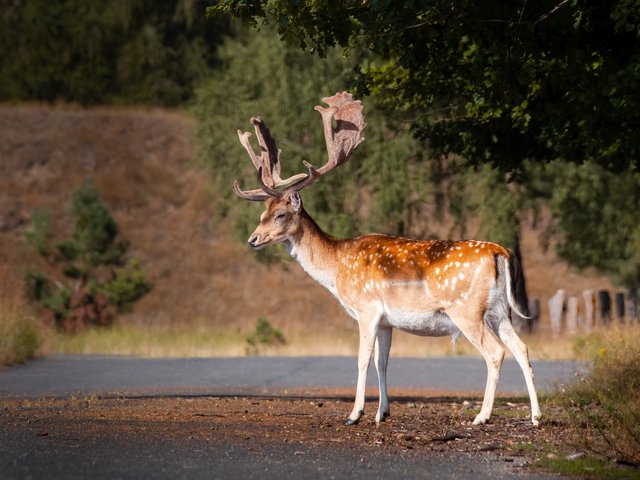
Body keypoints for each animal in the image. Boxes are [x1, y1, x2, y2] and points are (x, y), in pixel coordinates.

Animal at [230, 92, 540, 426]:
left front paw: (354, 414)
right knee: (522, 348)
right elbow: (382, 362)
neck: (337, 266)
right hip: (500, 310)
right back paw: (536, 416)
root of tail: (502, 253)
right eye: (262, 213)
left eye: (280, 214)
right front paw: (382, 412)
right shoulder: (387, 321)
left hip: (467, 310)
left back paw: (482, 416)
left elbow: (362, 360)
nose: (252, 239)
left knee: (495, 353)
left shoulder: (366, 309)